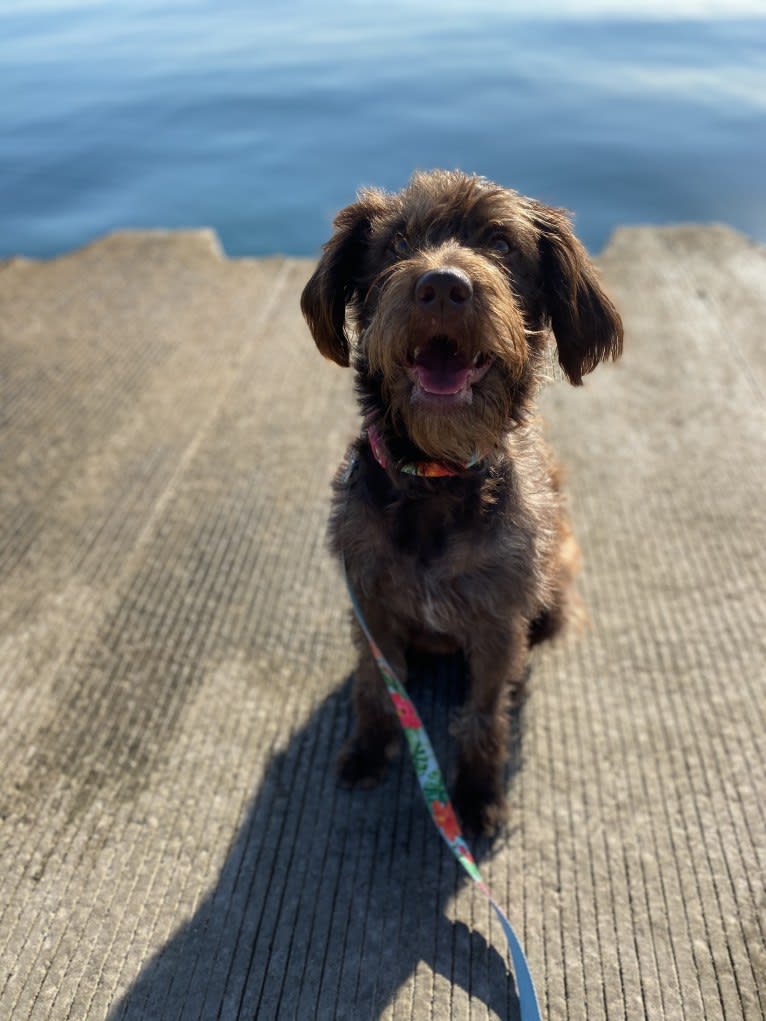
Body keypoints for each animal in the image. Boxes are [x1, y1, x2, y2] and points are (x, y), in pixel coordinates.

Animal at [300, 169, 625, 837]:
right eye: (399, 241)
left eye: (500, 243)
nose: (444, 286)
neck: (435, 478)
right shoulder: (369, 601)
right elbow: (375, 685)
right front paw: (371, 747)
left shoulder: (498, 623)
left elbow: (483, 713)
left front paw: (476, 792)